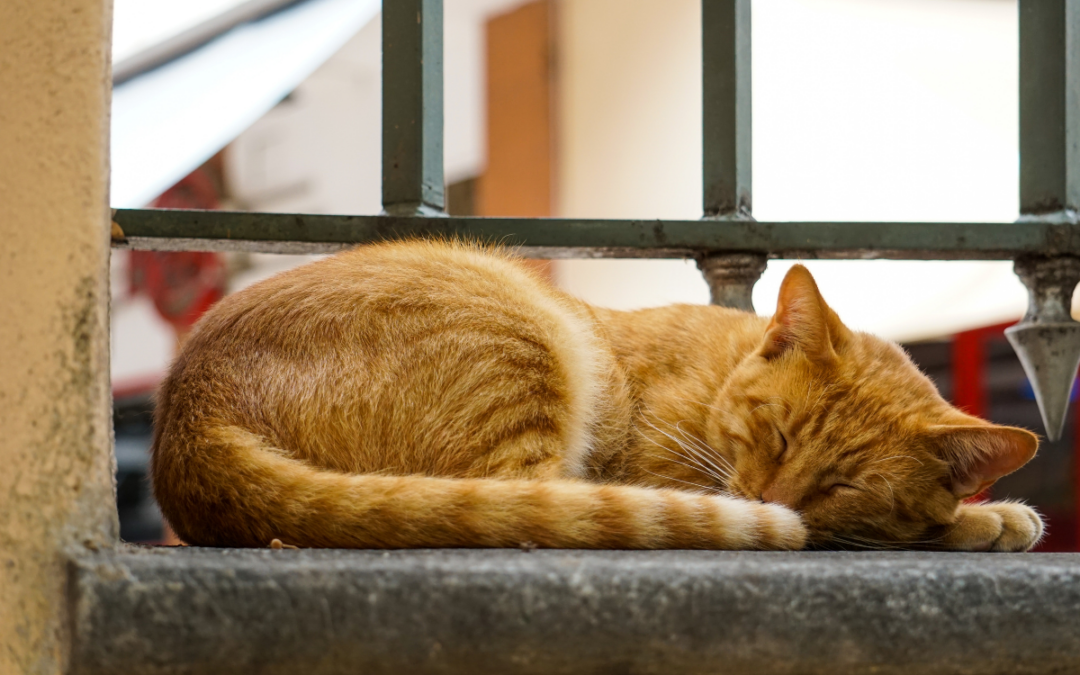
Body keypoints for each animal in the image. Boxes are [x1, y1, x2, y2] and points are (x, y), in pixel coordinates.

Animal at [147, 239, 1041, 550]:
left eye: (846, 482)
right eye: (776, 430)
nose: (769, 497)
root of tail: (188, 412)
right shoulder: (675, 470)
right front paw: (984, 516)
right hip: (517, 337)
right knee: (534, 503)